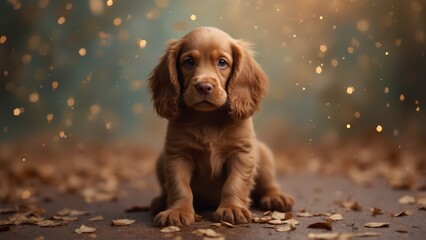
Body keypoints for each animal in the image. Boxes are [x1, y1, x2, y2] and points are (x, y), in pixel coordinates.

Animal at [147, 27, 292, 226]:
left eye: (222, 62)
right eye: (189, 62)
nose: (204, 86)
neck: (208, 119)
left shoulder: (241, 153)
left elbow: (234, 183)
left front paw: (232, 209)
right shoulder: (177, 154)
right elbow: (179, 186)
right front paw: (177, 211)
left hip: (264, 154)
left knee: (269, 184)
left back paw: (276, 197)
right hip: (160, 159)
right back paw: (160, 201)